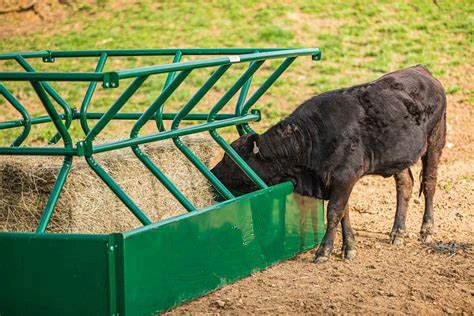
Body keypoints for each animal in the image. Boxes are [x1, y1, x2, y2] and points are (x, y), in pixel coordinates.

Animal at [213, 65, 446, 262]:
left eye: (229, 158)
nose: (215, 173)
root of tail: (421, 70)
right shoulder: (336, 181)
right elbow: (344, 213)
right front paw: (349, 247)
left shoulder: (344, 176)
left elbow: (334, 211)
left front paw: (324, 251)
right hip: (399, 157)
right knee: (405, 184)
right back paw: (398, 232)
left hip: (435, 141)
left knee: (429, 183)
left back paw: (426, 230)